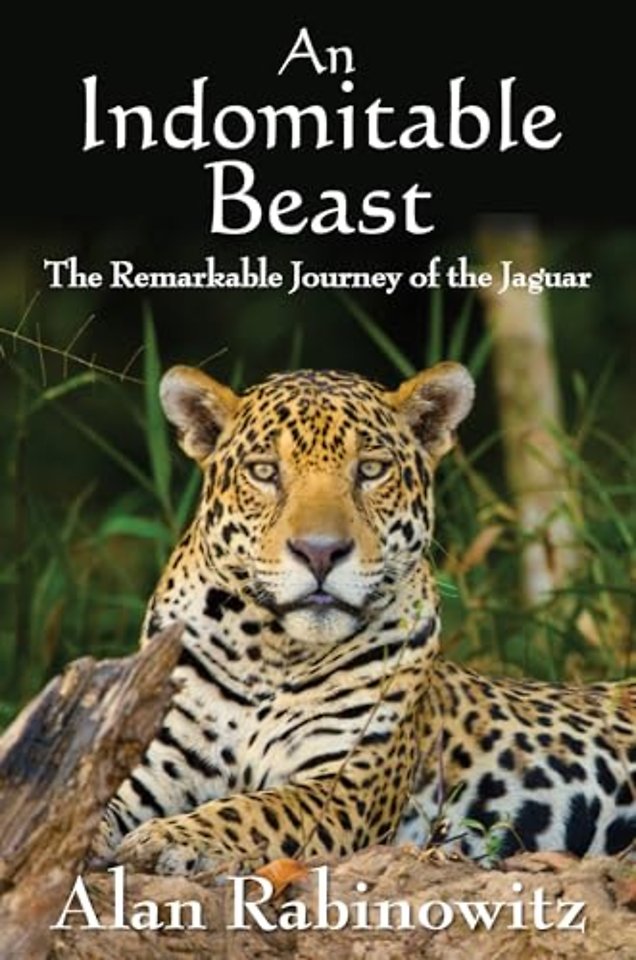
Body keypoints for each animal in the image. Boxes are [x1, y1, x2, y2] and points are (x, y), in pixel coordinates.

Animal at [96, 362, 636, 875]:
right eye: (265, 472)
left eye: (371, 470)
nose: (320, 552)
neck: (268, 651)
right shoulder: (150, 761)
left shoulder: (344, 785)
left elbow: (251, 809)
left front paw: (165, 837)